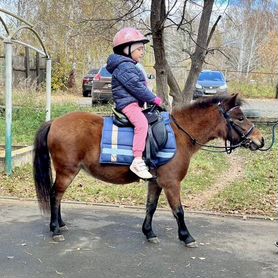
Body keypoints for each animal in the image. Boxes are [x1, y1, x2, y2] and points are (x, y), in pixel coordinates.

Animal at [33, 94, 264, 247]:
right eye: (240, 117)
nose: (260, 140)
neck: (180, 135)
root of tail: (55, 122)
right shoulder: (171, 183)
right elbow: (178, 210)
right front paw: (186, 236)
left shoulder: (156, 182)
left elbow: (150, 207)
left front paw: (149, 232)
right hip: (67, 171)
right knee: (55, 195)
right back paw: (55, 229)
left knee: (58, 196)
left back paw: (60, 224)